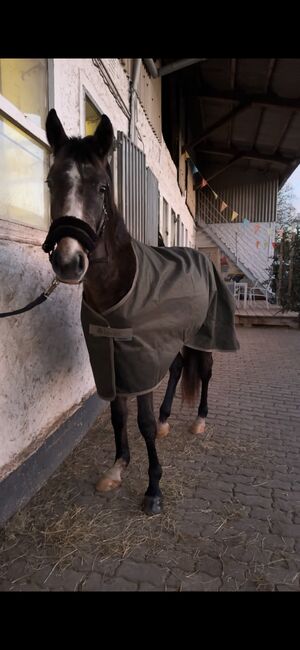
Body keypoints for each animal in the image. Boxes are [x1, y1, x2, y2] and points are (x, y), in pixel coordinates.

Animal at [43, 110, 239, 516]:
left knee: (205, 373)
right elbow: (119, 415)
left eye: (102, 187)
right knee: (179, 369)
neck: (118, 286)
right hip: (174, 337)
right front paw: (117, 468)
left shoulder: (139, 359)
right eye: (52, 182)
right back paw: (168, 420)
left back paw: (198, 421)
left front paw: (153, 488)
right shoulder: (111, 357)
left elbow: (142, 422)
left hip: (204, 335)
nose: (68, 262)